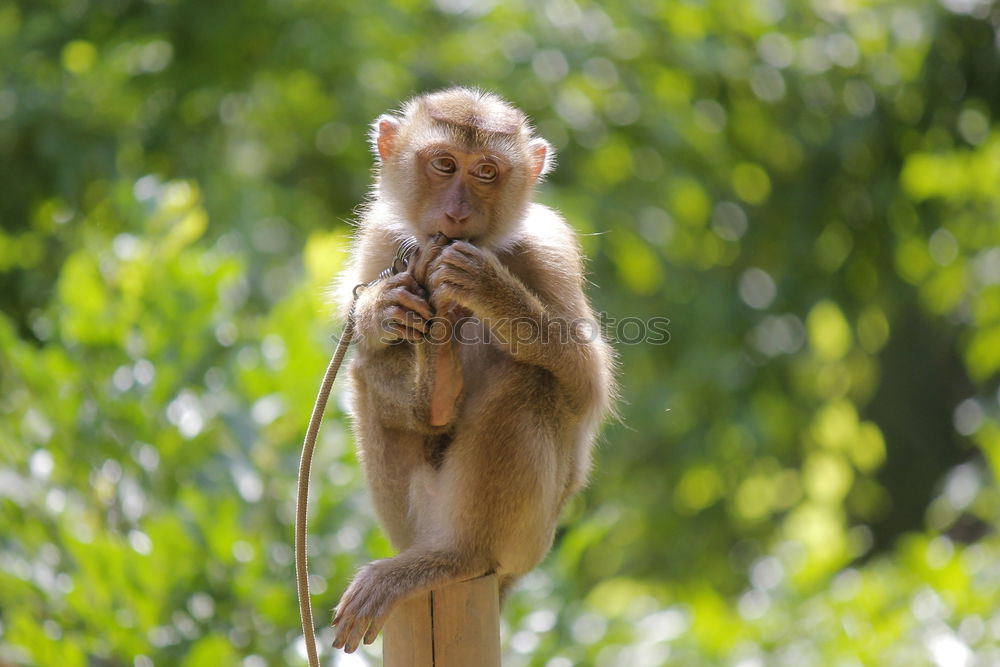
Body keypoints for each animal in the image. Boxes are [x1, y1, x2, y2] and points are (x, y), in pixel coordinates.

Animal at [332, 86, 612, 656]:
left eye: (486, 171)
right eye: (444, 164)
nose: (457, 213)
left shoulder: (550, 251)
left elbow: (587, 385)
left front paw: (487, 288)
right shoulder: (382, 237)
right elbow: (371, 337)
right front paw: (378, 308)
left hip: (527, 540)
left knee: (531, 382)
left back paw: (459, 557)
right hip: (420, 514)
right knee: (367, 374)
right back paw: (437, 385)